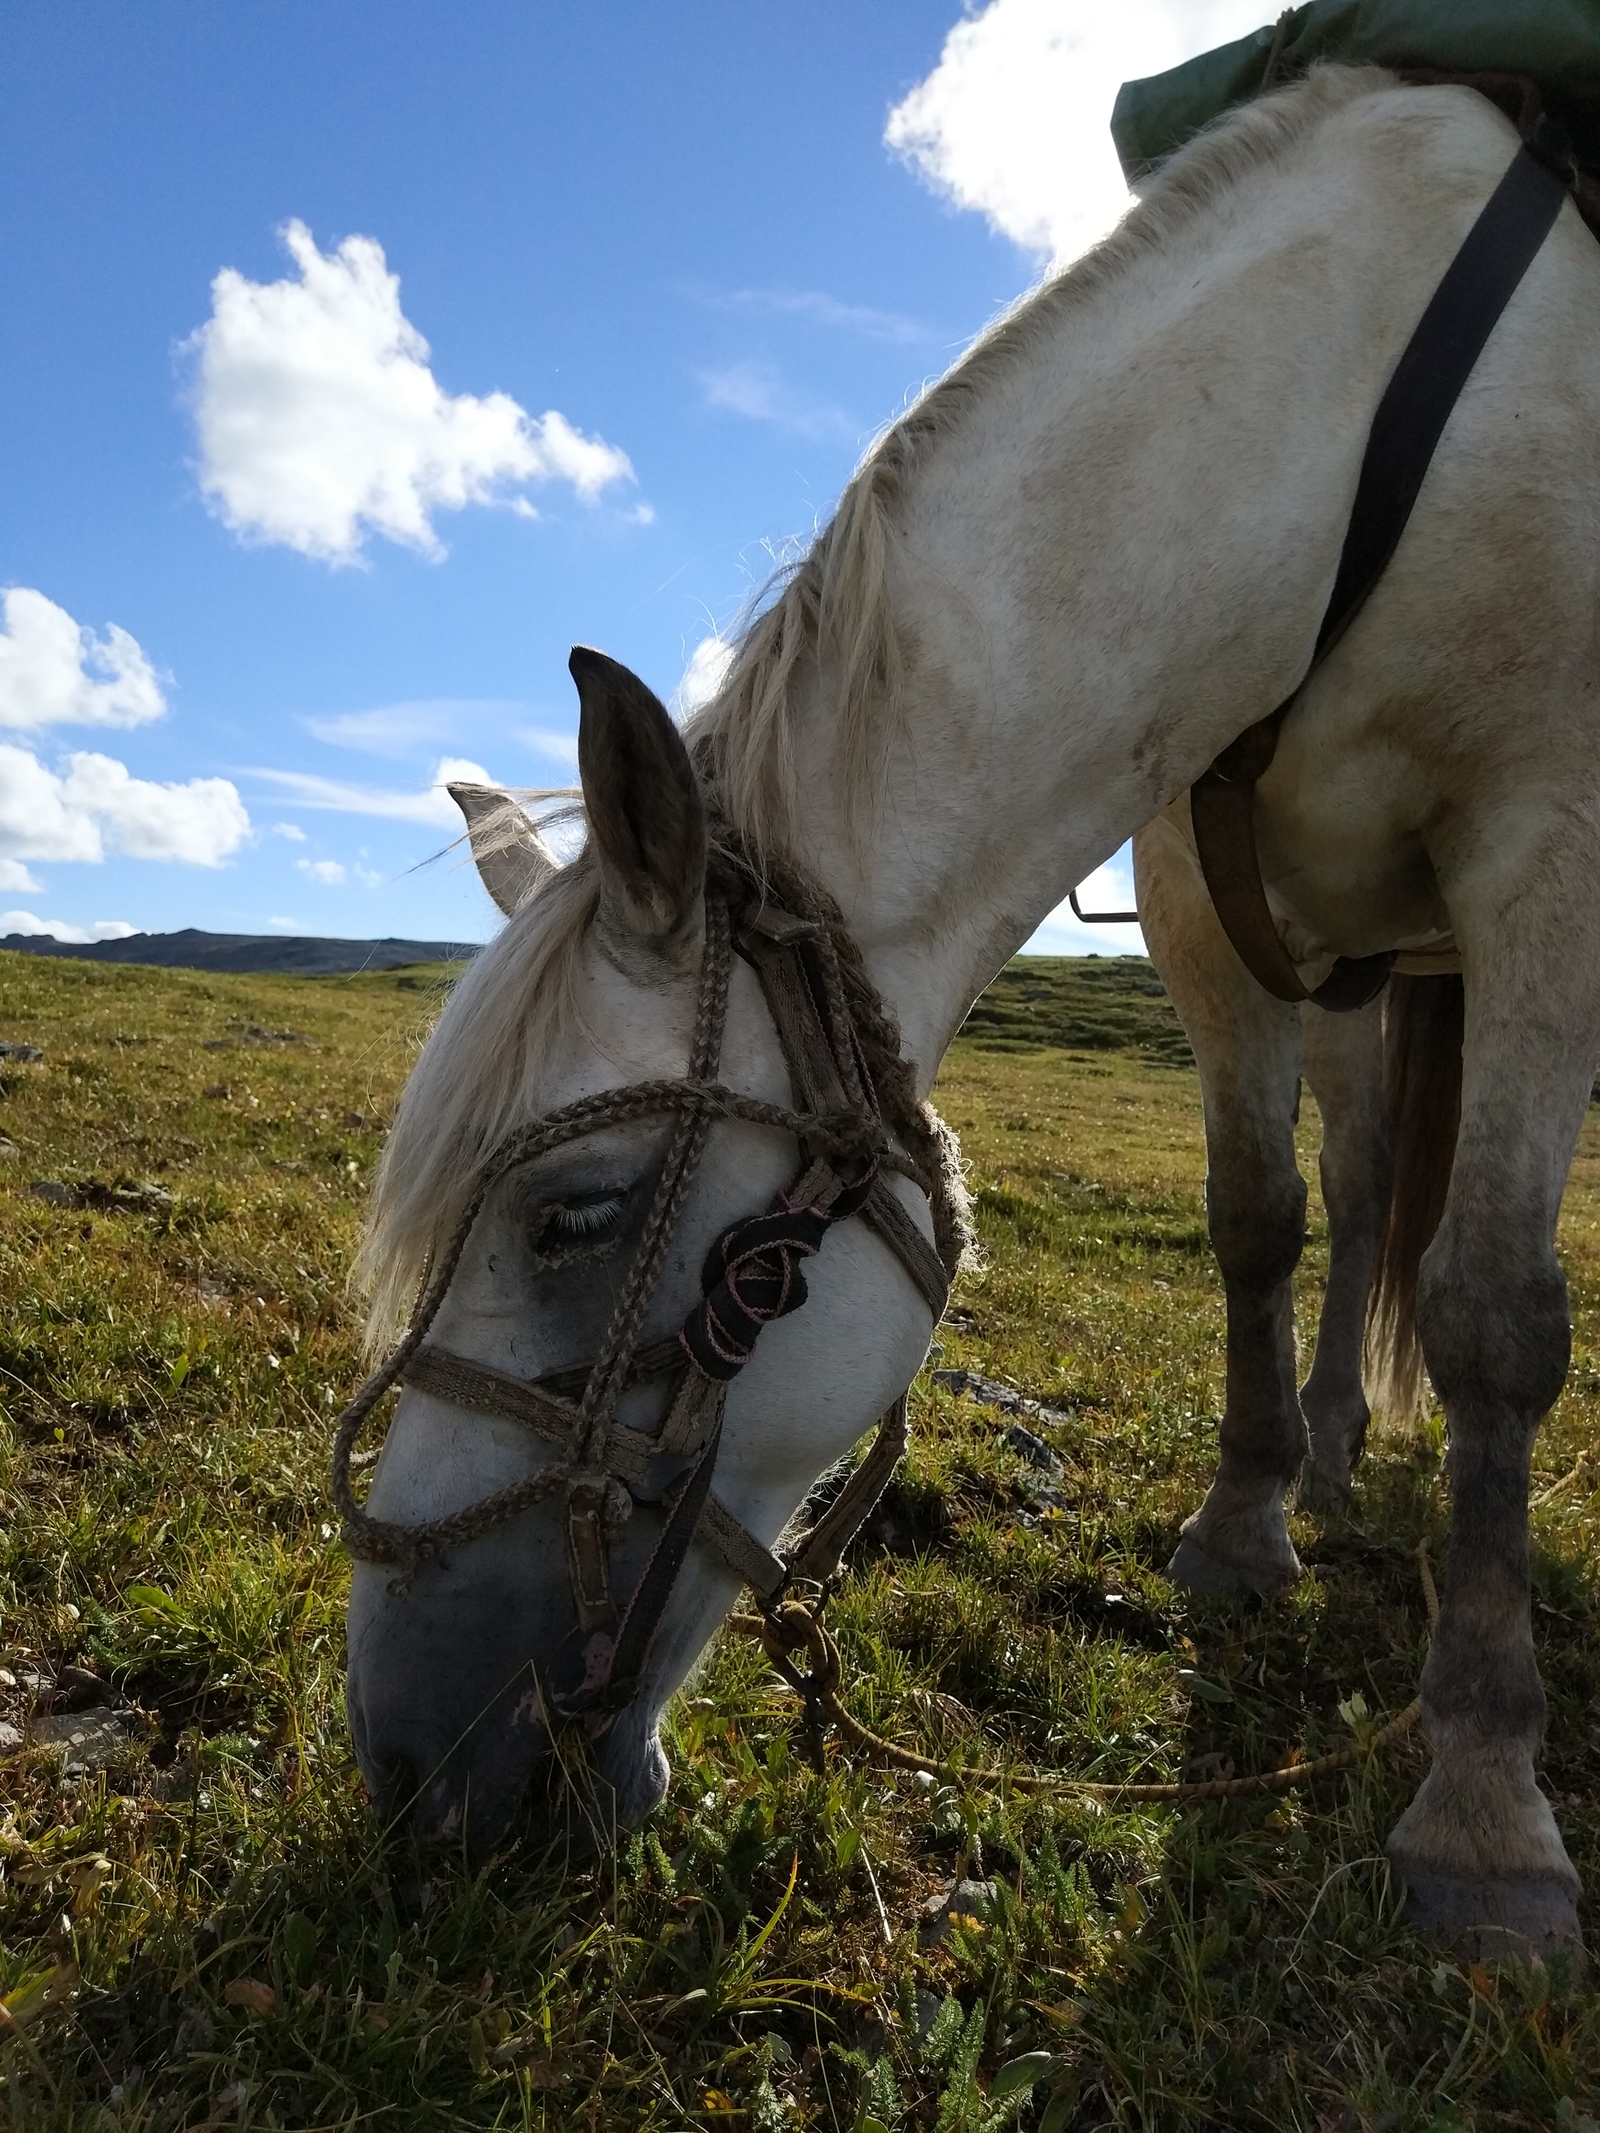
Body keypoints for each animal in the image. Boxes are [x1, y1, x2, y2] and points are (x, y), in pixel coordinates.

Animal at [345, 66, 1595, 1953]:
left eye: (574, 1216)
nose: (403, 1760)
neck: (1351, 428)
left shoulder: (1547, 842)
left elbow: (1498, 1319)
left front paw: (1482, 1799)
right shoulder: (1206, 889)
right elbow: (1257, 1218)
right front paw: (1243, 1527)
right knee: (1370, 1173)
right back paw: (1324, 1446)